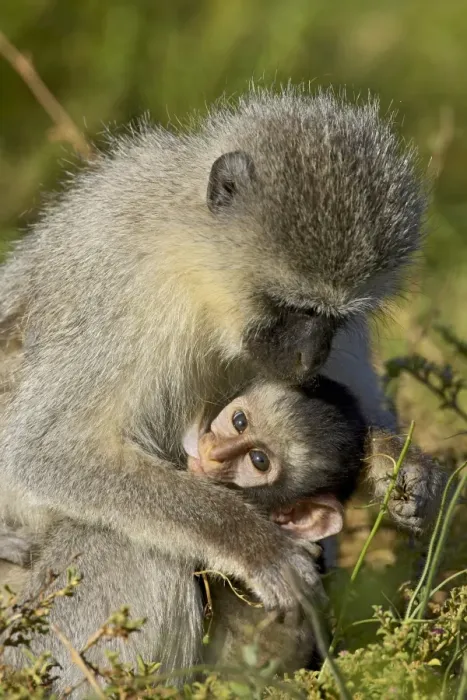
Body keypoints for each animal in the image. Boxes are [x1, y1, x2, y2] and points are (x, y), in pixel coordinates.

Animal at [0, 85, 432, 691]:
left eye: (335, 318)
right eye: (290, 306)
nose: (310, 357)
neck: (197, 270)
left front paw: (396, 461)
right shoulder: (127, 291)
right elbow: (48, 452)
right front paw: (251, 543)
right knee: (133, 544)